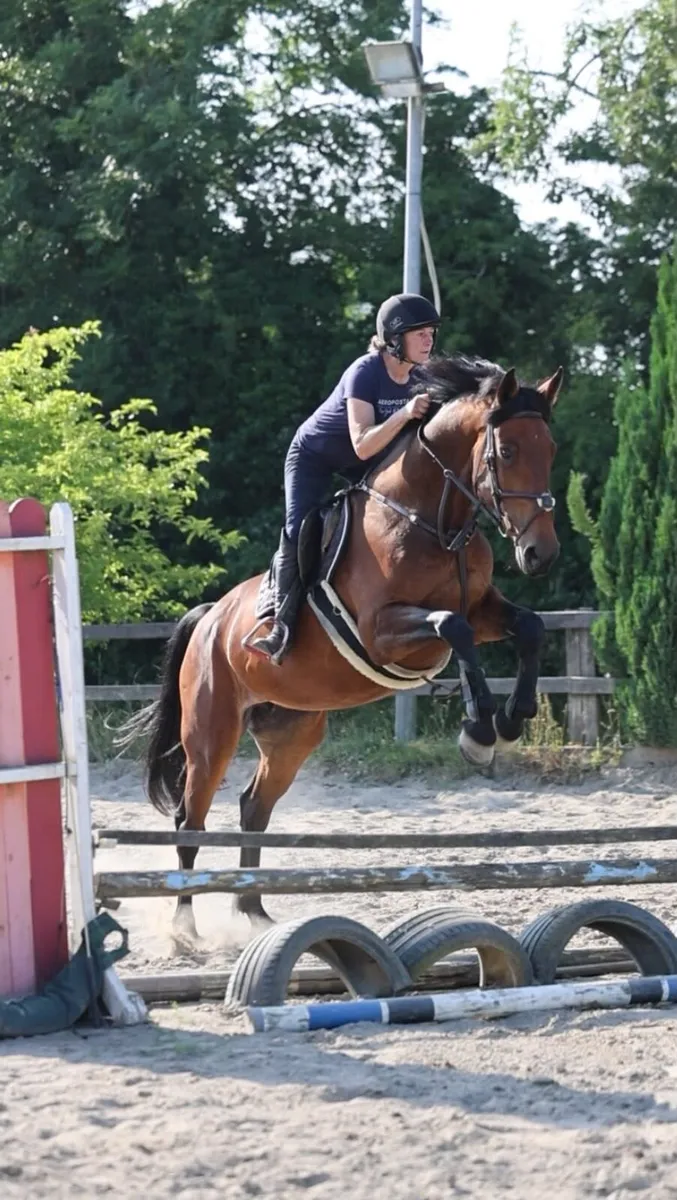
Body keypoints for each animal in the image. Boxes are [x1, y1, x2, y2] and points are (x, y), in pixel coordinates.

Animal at [121, 354, 563, 936]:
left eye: (550, 450)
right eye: (507, 451)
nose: (540, 554)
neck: (431, 519)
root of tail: (209, 620)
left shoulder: (482, 607)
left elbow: (528, 628)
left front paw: (511, 720)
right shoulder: (382, 632)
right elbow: (454, 629)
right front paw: (479, 730)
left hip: (292, 731)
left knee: (253, 810)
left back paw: (254, 912)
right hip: (210, 734)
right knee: (189, 821)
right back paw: (185, 931)